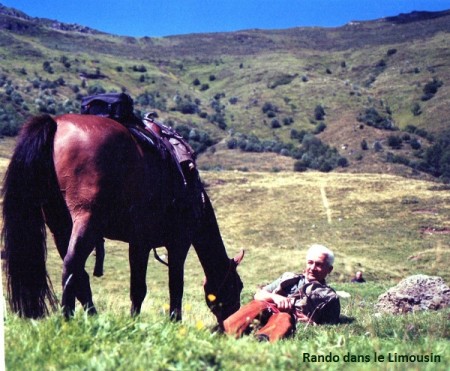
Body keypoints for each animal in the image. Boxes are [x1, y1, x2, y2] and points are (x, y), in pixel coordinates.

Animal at [1, 114, 244, 328]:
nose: (231, 321)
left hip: (59, 226)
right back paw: (68, 318)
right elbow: (174, 285)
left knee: (79, 274)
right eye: (237, 285)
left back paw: (93, 317)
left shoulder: (139, 244)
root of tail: (55, 123)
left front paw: (134, 322)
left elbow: (137, 288)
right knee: (71, 266)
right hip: (85, 221)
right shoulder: (178, 243)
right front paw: (174, 323)